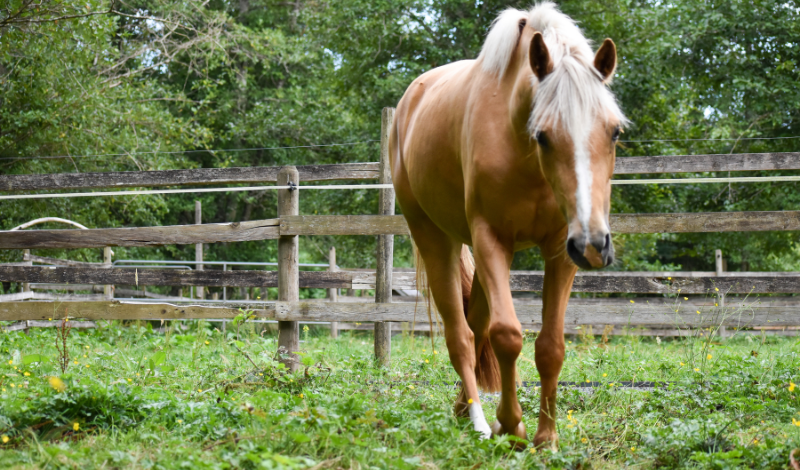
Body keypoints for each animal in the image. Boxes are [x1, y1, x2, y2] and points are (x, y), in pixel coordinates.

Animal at [390, 2, 626, 448]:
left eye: (615, 132)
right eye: (543, 135)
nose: (593, 245)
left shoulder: (559, 249)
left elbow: (550, 346)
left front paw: (546, 437)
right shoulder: (491, 239)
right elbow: (507, 335)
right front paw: (513, 426)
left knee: (476, 325)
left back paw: (463, 409)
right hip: (436, 239)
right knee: (461, 336)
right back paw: (480, 420)